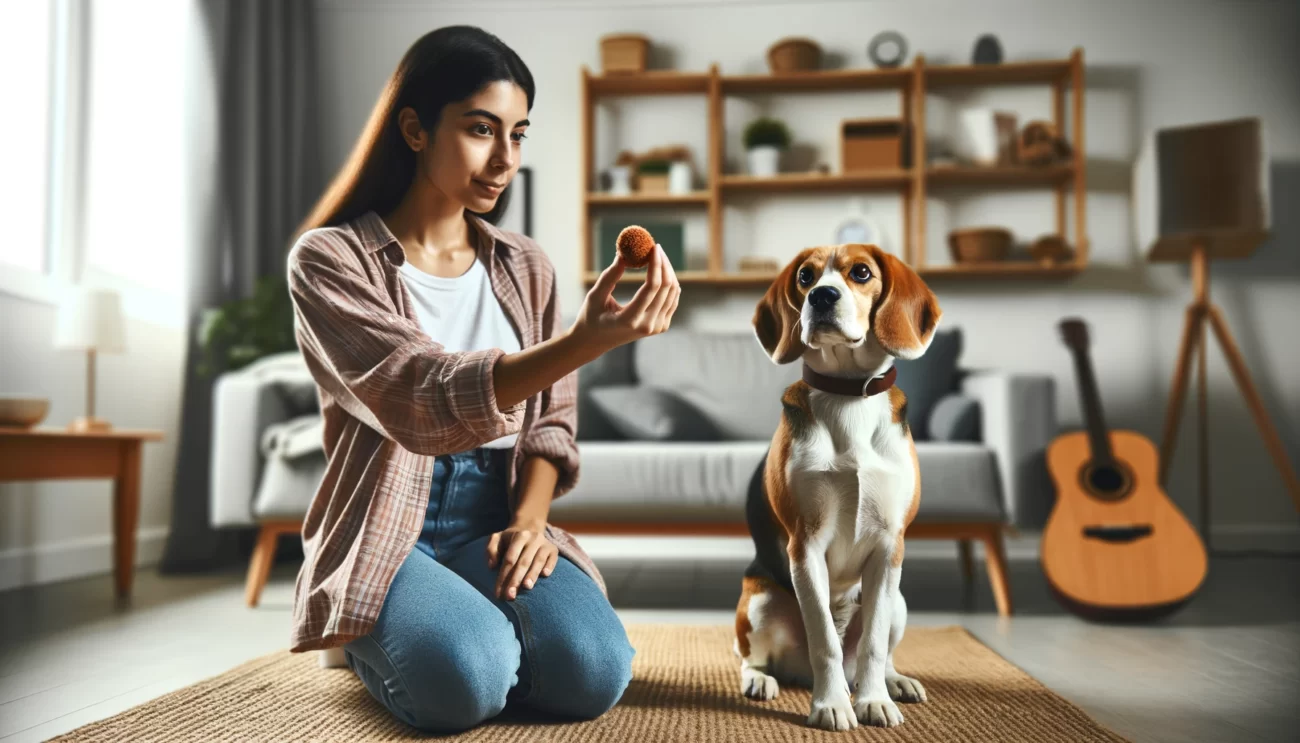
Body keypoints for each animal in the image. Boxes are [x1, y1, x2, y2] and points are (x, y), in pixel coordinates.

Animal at [738, 245, 941, 732]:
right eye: (805, 277)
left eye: (861, 272)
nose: (822, 297)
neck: (849, 397)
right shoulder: (805, 545)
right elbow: (825, 640)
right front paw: (830, 705)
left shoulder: (889, 547)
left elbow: (873, 643)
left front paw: (873, 701)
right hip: (759, 599)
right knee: (753, 658)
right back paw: (761, 680)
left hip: (899, 600)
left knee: (877, 651)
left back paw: (893, 682)